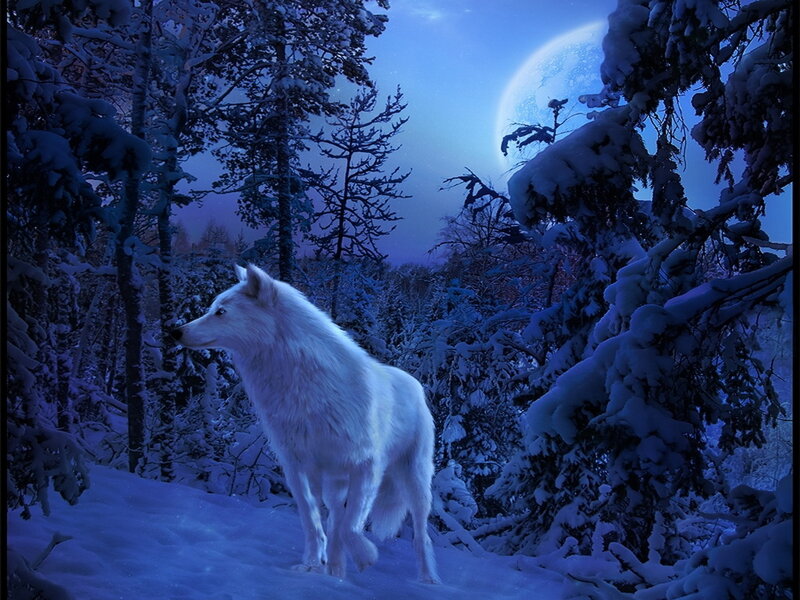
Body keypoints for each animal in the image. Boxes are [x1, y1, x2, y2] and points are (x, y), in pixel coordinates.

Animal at [172, 264, 439, 583]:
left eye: (221, 312)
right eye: (211, 308)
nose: (175, 331)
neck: (302, 387)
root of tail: (414, 382)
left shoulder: (366, 466)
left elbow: (350, 528)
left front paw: (365, 556)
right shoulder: (296, 467)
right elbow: (312, 522)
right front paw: (312, 565)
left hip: (415, 481)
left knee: (420, 535)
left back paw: (428, 580)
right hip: (333, 483)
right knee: (335, 519)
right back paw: (335, 572)